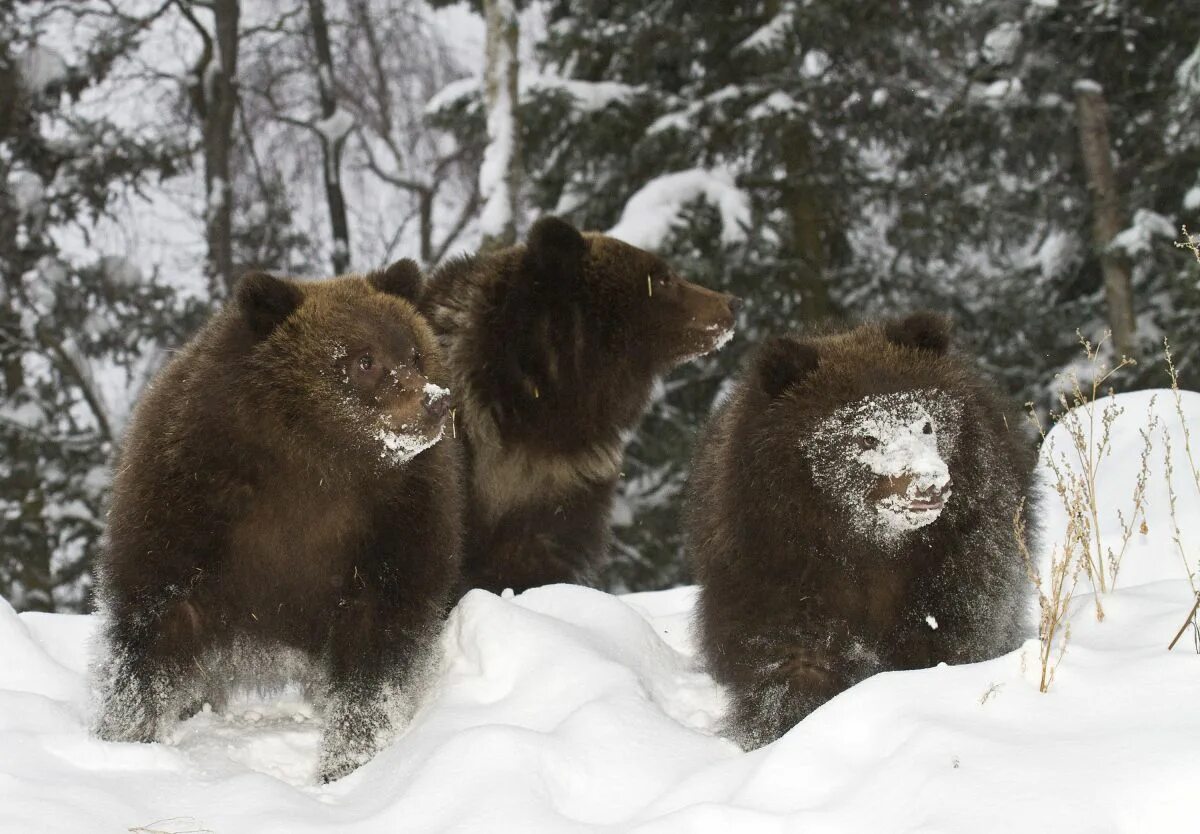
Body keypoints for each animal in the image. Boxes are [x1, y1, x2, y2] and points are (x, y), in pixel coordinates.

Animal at [90, 264, 458, 787]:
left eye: (413, 353)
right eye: (363, 360)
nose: (435, 401)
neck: (315, 463)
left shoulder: (393, 523)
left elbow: (378, 652)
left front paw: (348, 760)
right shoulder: (190, 499)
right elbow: (154, 625)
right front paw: (126, 740)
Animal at [686, 312, 1032, 748]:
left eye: (926, 424)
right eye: (866, 435)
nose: (930, 483)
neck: (869, 544)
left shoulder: (957, 556)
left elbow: (953, 632)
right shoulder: (774, 560)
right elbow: (791, 656)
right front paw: (783, 726)